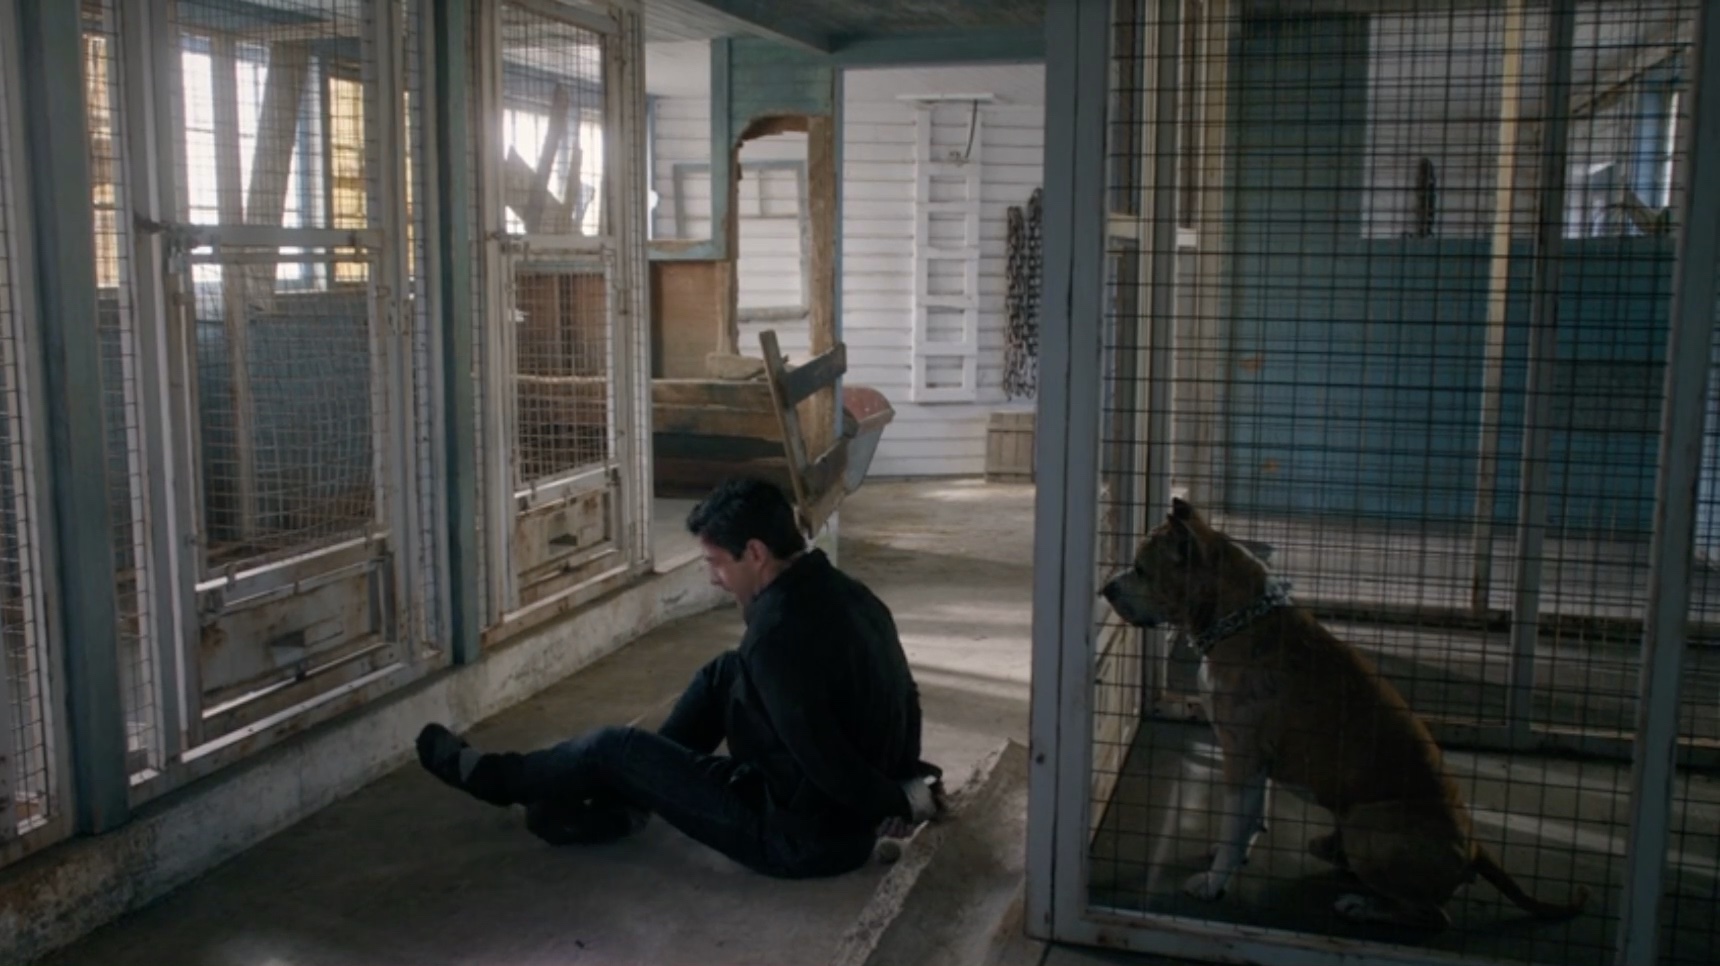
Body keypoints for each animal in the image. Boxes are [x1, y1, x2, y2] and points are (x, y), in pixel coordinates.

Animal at [1098, 497, 1588, 929]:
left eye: (1141, 569)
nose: (1105, 588)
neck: (1241, 617)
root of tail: (1475, 847)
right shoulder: (1255, 759)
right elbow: (1251, 813)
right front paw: (1243, 849)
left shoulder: (1242, 754)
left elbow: (1233, 822)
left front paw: (1216, 879)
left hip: (1368, 825)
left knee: (1433, 915)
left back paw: (1363, 905)